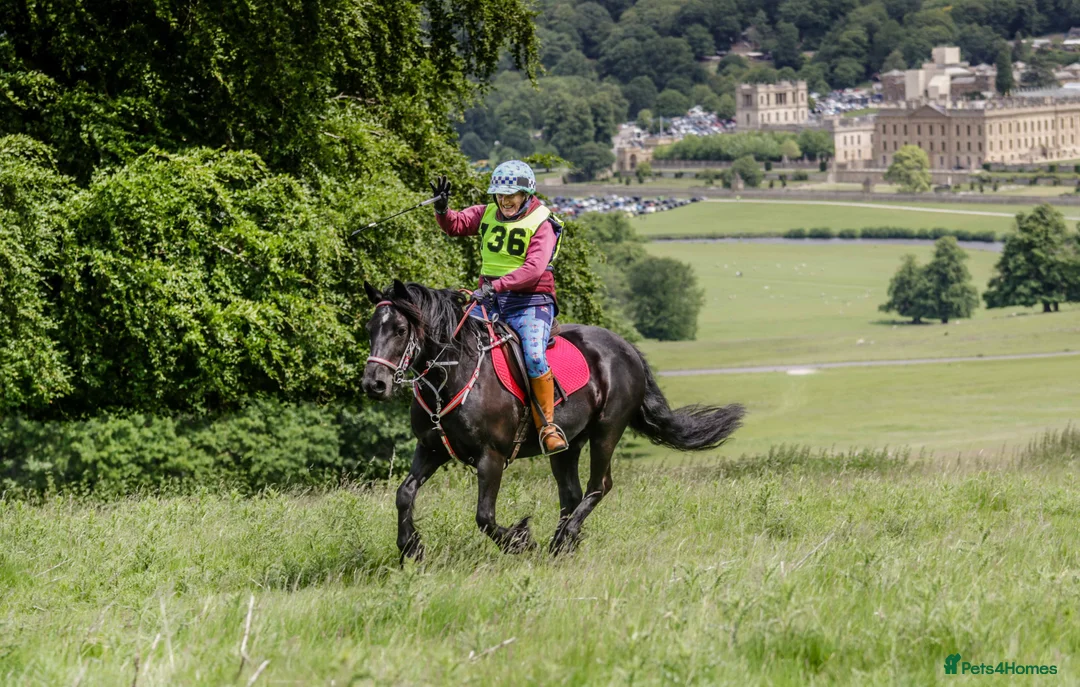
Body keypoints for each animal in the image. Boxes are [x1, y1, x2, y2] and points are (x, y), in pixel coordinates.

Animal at [361, 280, 745, 559]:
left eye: (399, 329)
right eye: (370, 328)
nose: (373, 384)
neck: (454, 374)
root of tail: (626, 348)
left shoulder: (491, 457)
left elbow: (484, 516)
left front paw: (520, 540)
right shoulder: (431, 449)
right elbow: (404, 493)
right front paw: (411, 547)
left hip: (606, 431)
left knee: (598, 486)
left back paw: (563, 539)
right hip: (566, 445)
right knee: (571, 494)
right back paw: (562, 542)